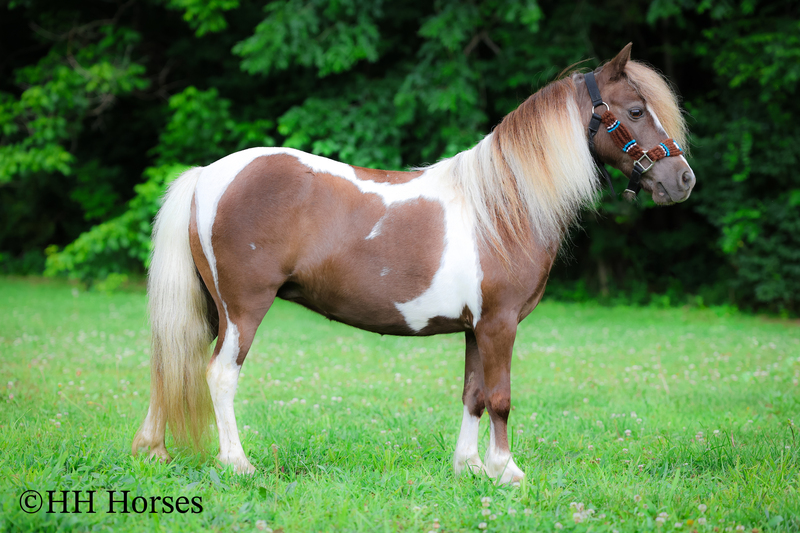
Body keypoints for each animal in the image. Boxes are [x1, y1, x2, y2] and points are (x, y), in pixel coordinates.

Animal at [132, 43, 695, 484]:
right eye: (636, 110)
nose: (683, 180)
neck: (502, 207)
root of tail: (208, 175)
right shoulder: (500, 324)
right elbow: (500, 396)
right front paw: (507, 471)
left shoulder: (476, 328)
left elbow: (473, 394)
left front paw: (470, 467)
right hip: (243, 309)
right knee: (220, 375)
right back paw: (237, 463)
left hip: (211, 311)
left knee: (172, 364)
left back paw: (153, 451)